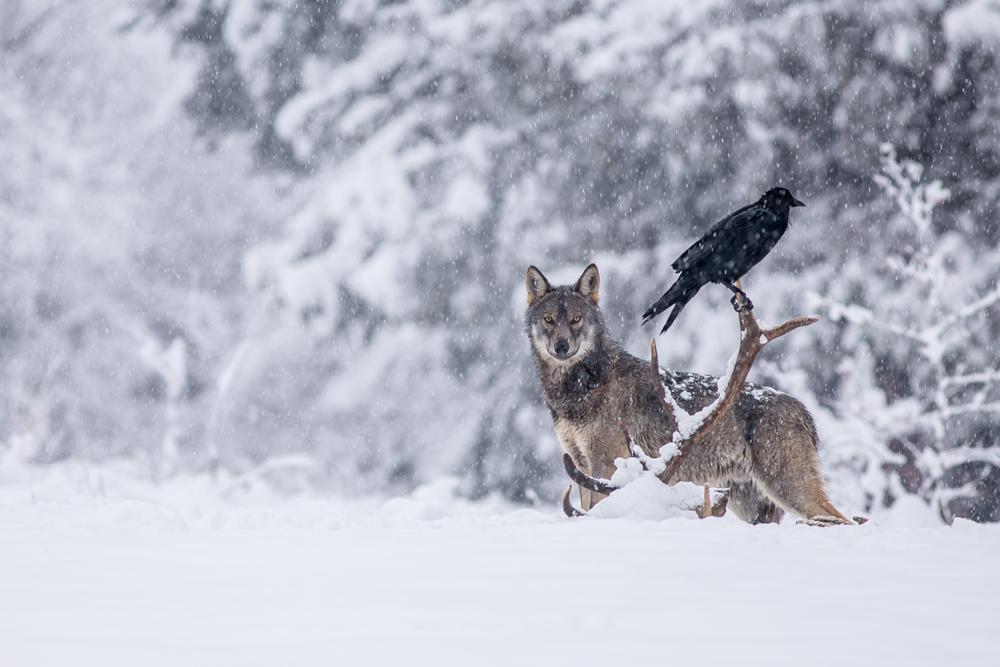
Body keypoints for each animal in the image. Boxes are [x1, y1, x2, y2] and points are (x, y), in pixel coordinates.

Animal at [528, 264, 848, 524]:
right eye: (548, 319)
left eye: (576, 319)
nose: (561, 347)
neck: (574, 397)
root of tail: (804, 412)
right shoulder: (578, 457)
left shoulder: (606, 459)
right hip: (747, 497)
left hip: (786, 483)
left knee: (841, 518)